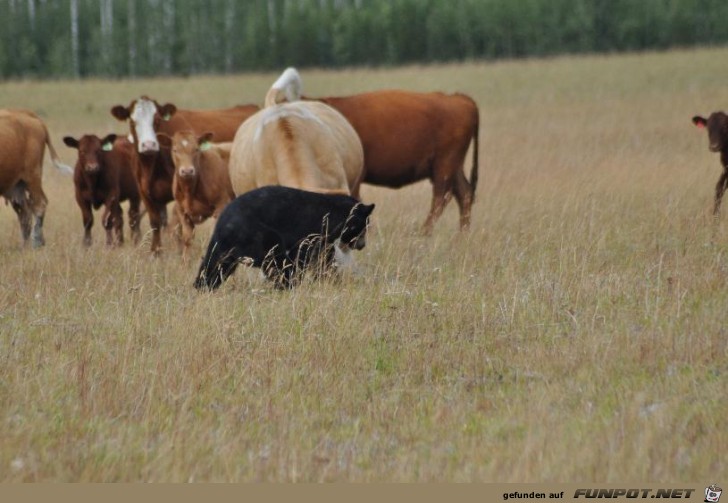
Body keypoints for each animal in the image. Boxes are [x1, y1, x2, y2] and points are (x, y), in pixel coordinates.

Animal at [0, 109, 72, 248]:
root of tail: (27, 113)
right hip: (16, 186)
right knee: (25, 213)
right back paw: (25, 246)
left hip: (32, 177)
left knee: (39, 205)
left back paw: (36, 243)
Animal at [168, 132, 235, 260]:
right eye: (175, 150)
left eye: (196, 149)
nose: (187, 171)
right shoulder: (181, 210)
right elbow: (187, 239)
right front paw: (185, 262)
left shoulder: (221, 205)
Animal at [193, 185, 376, 290]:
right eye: (364, 227)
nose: (362, 245)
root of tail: (224, 223)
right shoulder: (309, 231)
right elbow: (304, 253)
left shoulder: (324, 240)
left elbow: (324, 259)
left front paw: (331, 279)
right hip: (257, 234)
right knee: (275, 259)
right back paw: (287, 283)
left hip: (223, 246)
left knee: (214, 264)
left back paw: (202, 285)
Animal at [310, 90, 480, 234]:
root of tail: (459, 98)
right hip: (453, 167)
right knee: (464, 194)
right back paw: (462, 236)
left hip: (444, 166)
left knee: (441, 197)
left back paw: (423, 233)